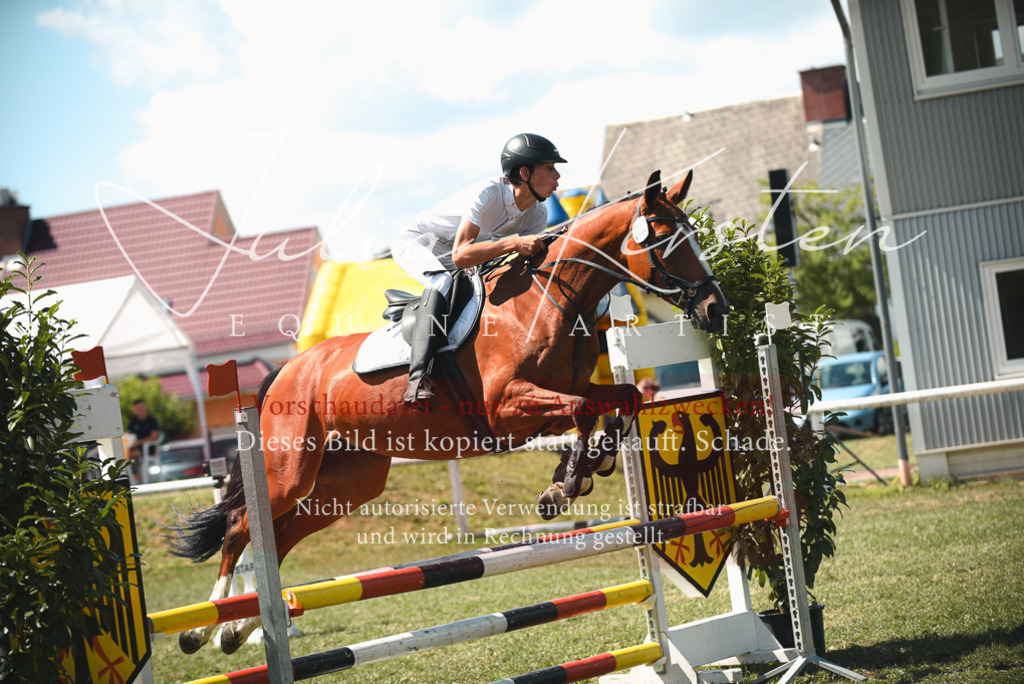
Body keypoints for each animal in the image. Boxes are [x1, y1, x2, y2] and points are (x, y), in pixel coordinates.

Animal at [170, 170, 728, 654]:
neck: (549, 299)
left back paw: (237, 630)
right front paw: (565, 484)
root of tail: (286, 370)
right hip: (287, 468)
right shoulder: (506, 408)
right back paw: (201, 631)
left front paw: (588, 468)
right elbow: (584, 410)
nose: (716, 310)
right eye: (664, 240)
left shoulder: (551, 401)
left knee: (284, 534)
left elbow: (621, 399)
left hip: (349, 480)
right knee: (242, 524)